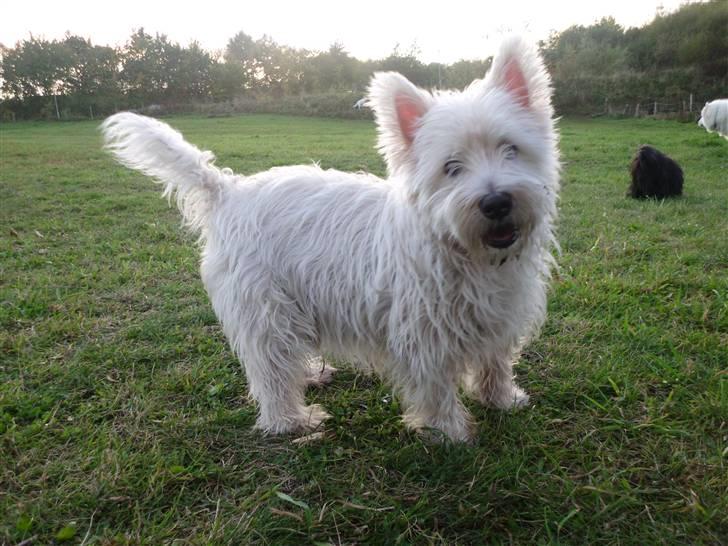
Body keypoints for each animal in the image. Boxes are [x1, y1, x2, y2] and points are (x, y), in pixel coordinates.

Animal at [101, 38, 556, 440]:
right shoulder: (423, 336)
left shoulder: (500, 317)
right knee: (270, 372)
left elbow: (496, 362)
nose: (496, 202)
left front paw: (501, 399)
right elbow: (436, 388)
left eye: (510, 148)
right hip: (266, 308)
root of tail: (229, 190)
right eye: (452, 167)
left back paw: (309, 374)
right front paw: (449, 433)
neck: (463, 250)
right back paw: (292, 421)